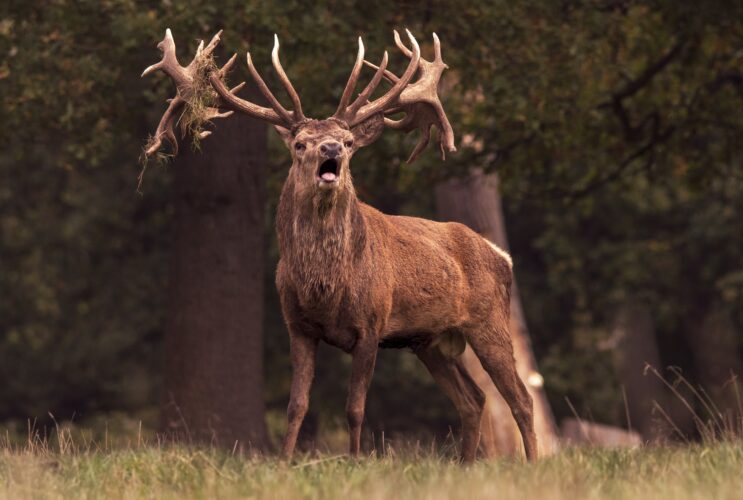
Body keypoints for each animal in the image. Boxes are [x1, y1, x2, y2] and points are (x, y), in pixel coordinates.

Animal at [142, 29, 536, 462]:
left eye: (347, 141)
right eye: (300, 143)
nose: (330, 149)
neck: (325, 289)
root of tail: (502, 255)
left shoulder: (372, 324)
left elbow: (355, 408)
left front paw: (356, 460)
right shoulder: (297, 326)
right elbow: (296, 404)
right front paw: (284, 461)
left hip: (489, 320)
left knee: (520, 398)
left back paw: (533, 462)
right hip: (428, 341)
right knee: (474, 399)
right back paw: (465, 465)